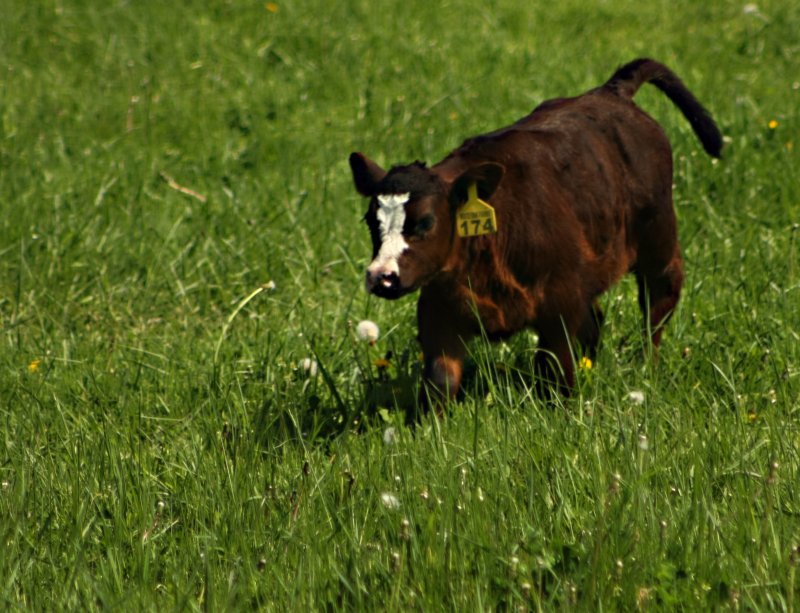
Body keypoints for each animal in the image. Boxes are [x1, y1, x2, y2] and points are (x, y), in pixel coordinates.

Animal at [349, 58, 722, 410]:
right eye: (370, 221)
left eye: (426, 222)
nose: (381, 276)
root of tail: (611, 90)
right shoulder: (438, 308)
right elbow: (441, 382)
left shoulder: (560, 304)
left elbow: (556, 371)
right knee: (596, 320)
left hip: (658, 243)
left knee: (657, 308)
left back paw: (648, 367)